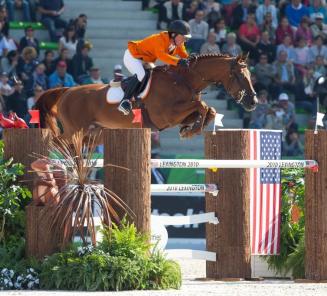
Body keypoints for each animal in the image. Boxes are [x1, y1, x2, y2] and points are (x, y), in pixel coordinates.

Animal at [34, 53, 258, 141]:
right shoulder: (166, 116)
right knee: (56, 141)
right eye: (240, 76)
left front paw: (190, 129)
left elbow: (207, 109)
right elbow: (201, 105)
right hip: (74, 130)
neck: (182, 80)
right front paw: (191, 130)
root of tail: (67, 91)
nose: (253, 102)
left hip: (92, 132)